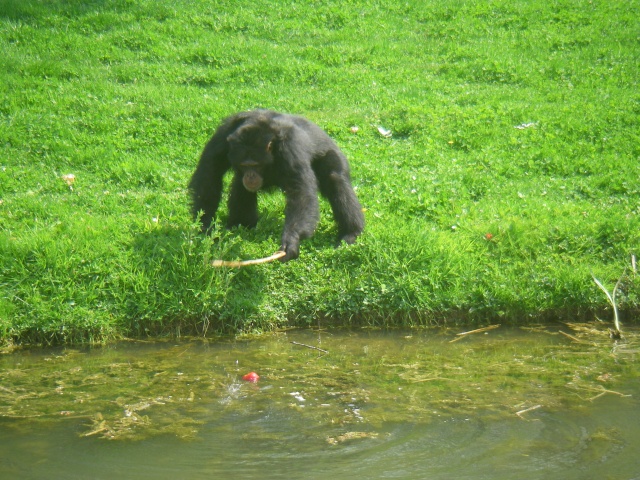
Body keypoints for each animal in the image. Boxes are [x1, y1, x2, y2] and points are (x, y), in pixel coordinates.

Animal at [189, 109, 364, 262]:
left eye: (256, 165)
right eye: (245, 165)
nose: (250, 175)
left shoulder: (290, 147)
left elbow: (300, 191)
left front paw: (291, 240)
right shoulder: (223, 136)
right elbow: (210, 173)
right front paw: (205, 227)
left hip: (332, 153)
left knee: (336, 180)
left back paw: (351, 232)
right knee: (239, 184)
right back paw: (242, 224)